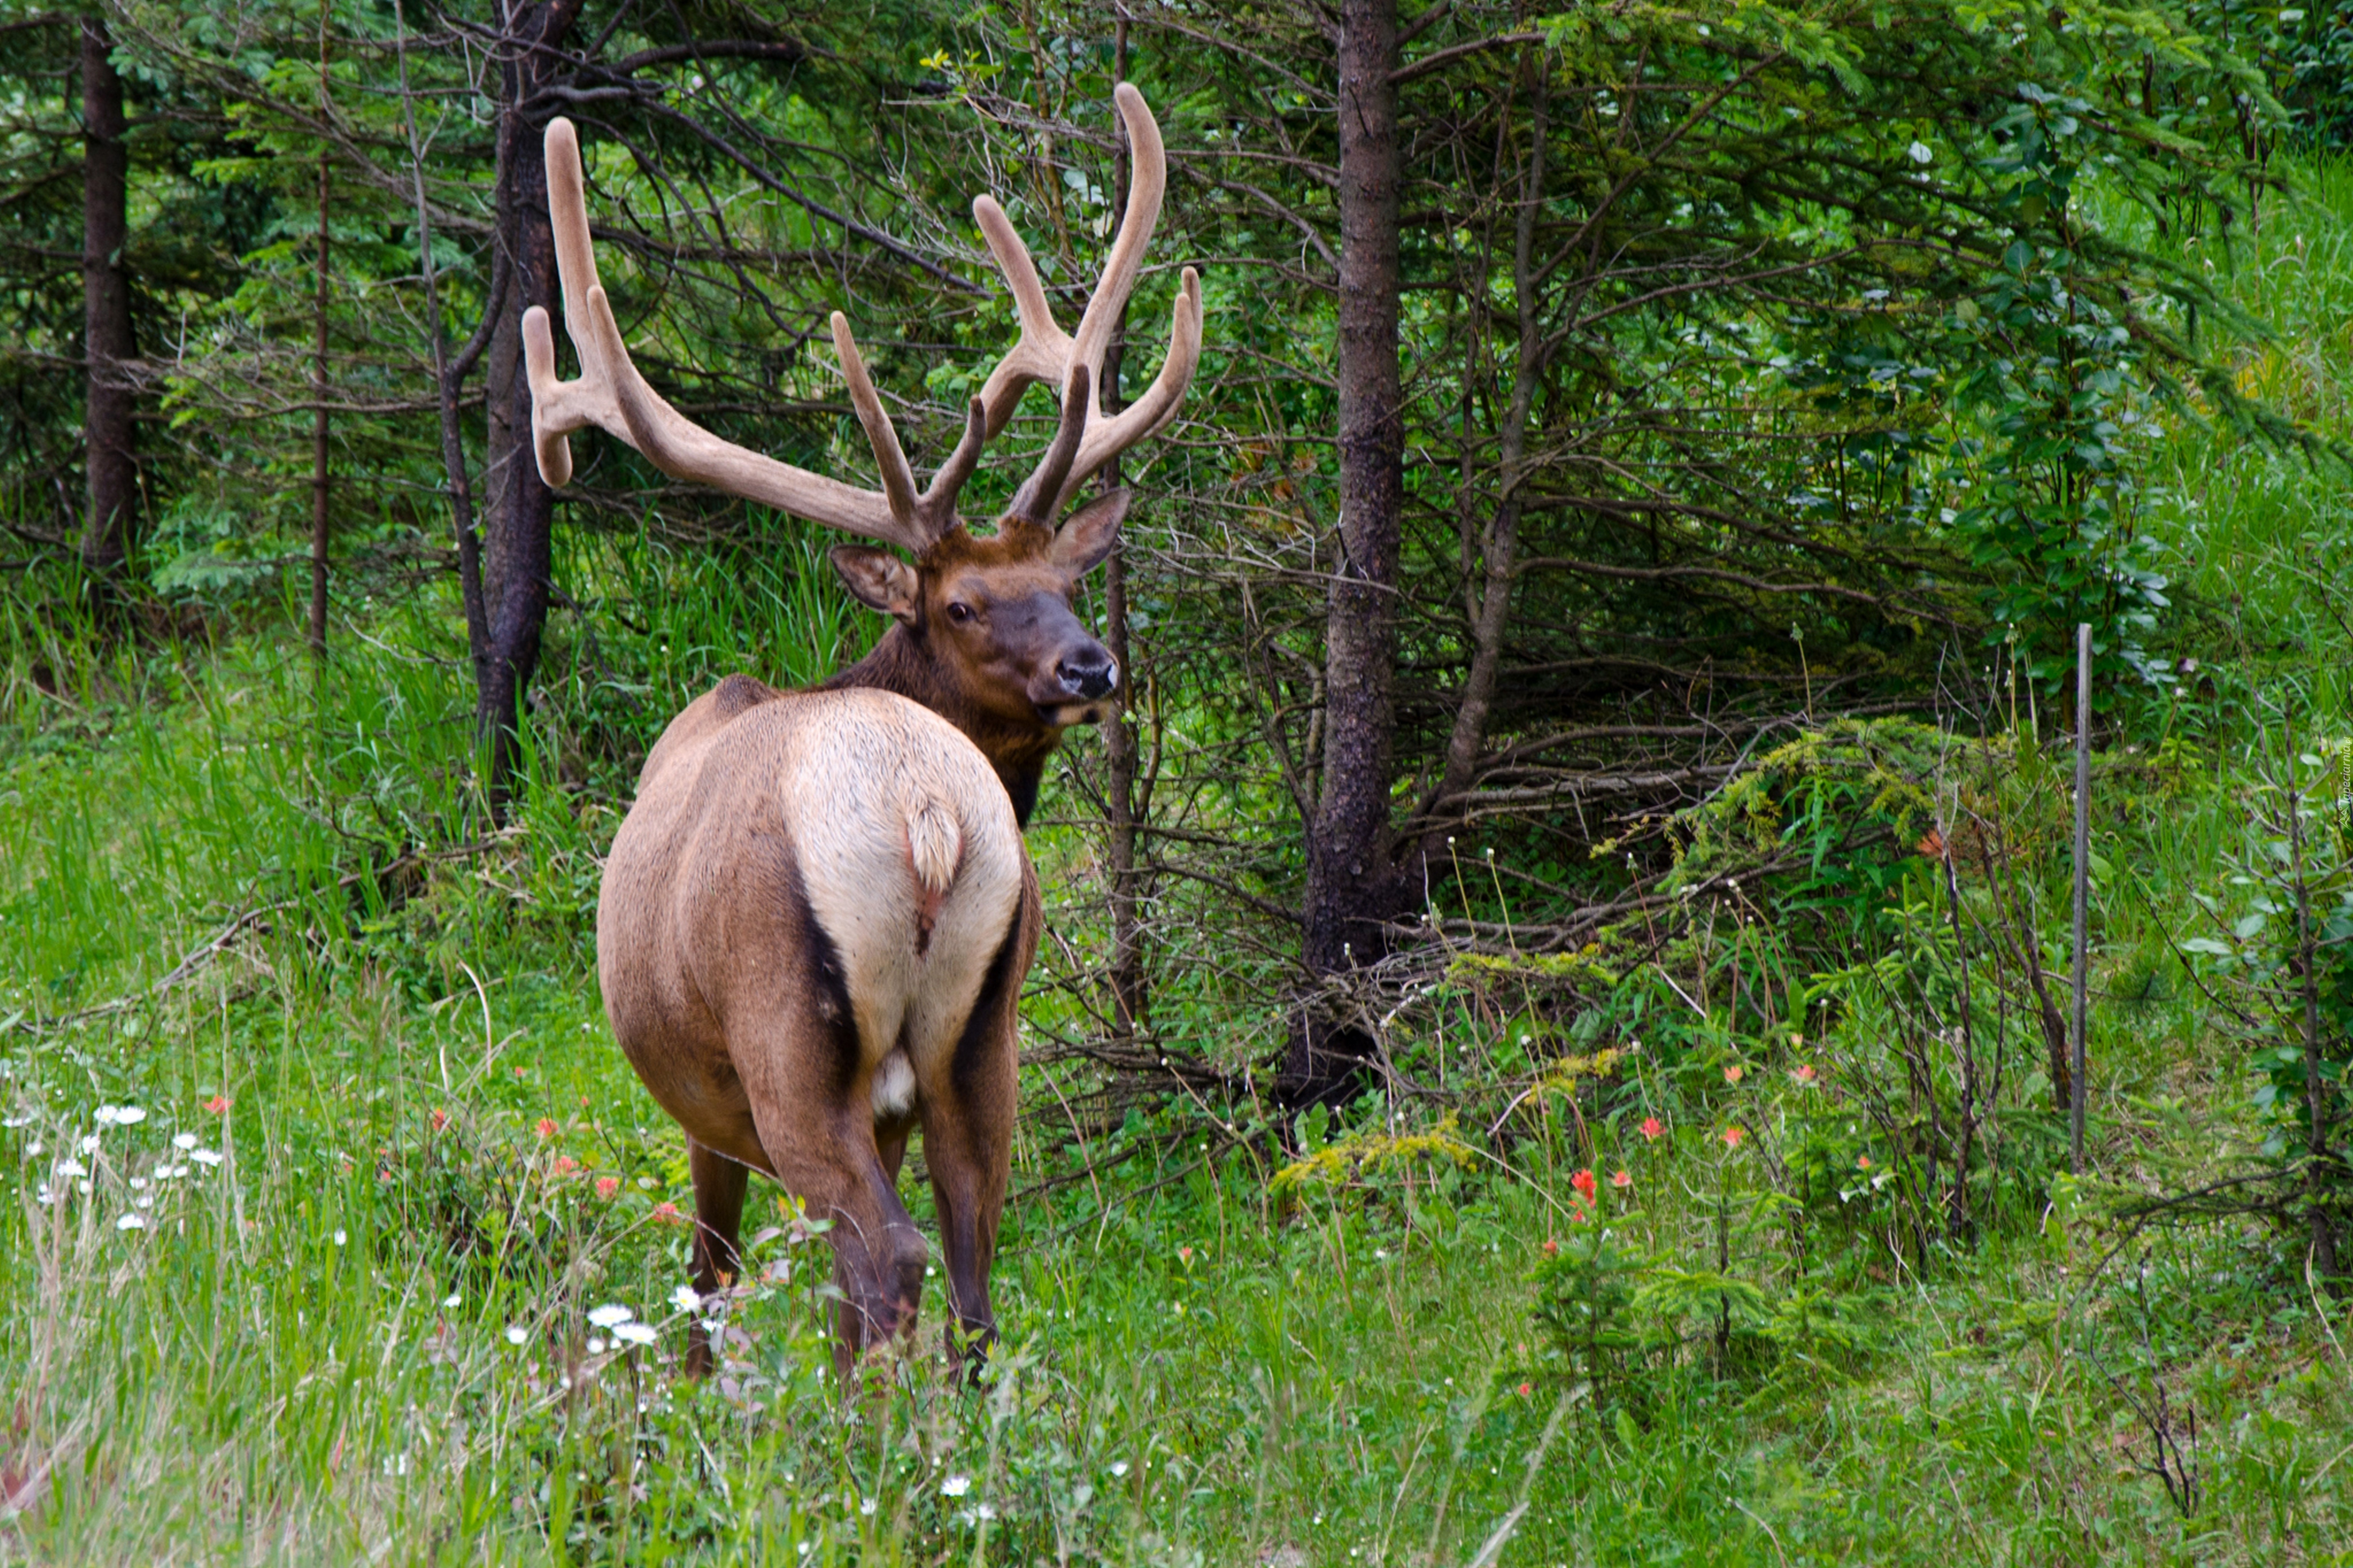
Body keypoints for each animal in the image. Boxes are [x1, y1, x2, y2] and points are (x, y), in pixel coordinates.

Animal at [524, 92, 1205, 1382]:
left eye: (1064, 584)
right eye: (967, 604)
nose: (1092, 666)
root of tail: (925, 813)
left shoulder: (707, 1103)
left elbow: (711, 1271)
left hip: (786, 1038)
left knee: (882, 1259)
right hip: (982, 1032)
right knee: (973, 1266)